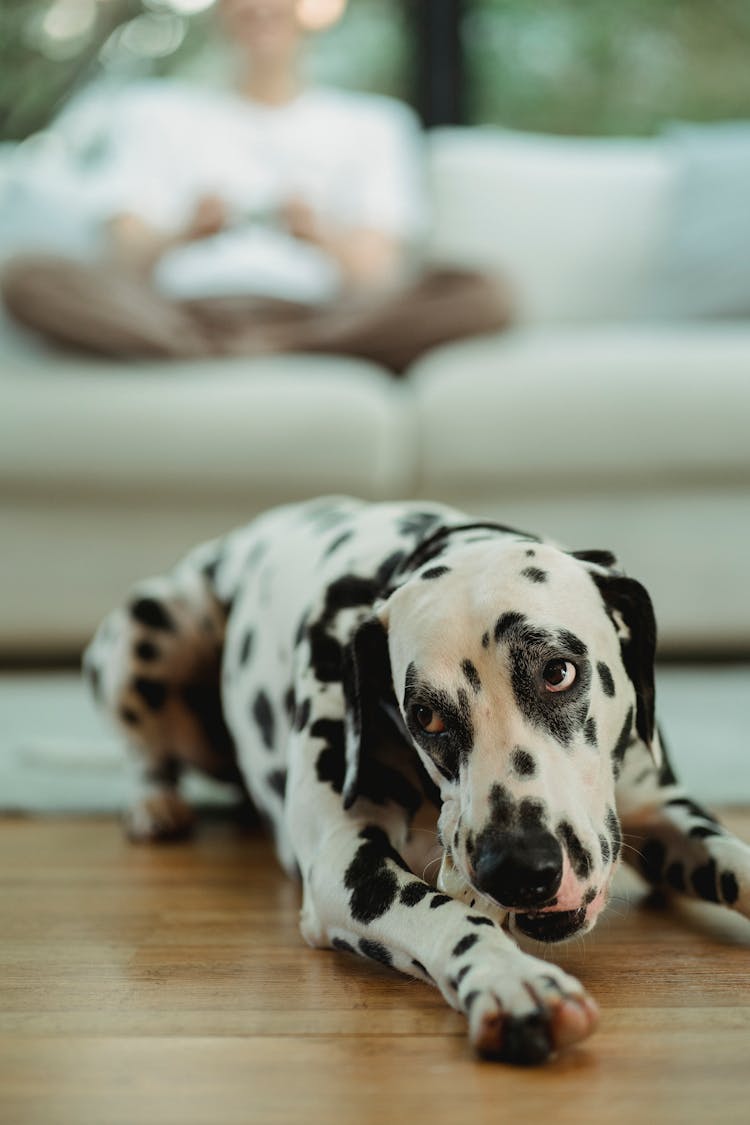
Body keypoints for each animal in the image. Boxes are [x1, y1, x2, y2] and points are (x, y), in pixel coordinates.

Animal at [83, 499, 750, 1062]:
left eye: (558, 671)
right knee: (145, 750)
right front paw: (514, 979)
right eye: (425, 715)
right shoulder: (342, 861)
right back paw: (154, 804)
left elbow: (735, 859)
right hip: (152, 624)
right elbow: (446, 914)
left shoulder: (661, 808)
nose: (519, 867)